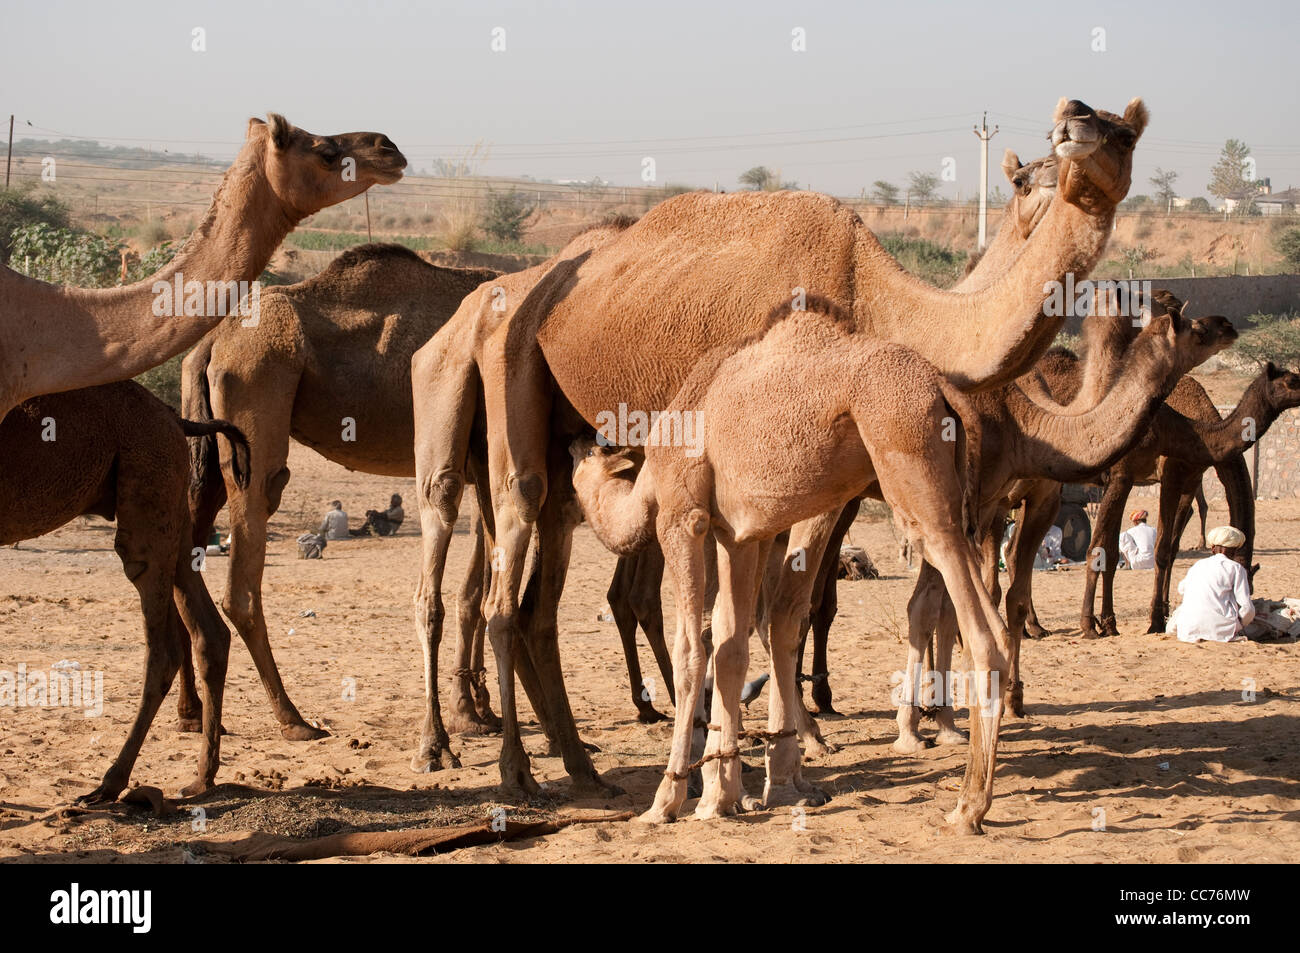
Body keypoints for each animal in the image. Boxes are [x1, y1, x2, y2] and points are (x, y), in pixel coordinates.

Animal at [0, 377, 250, 795]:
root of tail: (172, 415)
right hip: (170, 497)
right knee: (209, 629)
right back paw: (202, 777)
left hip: (148, 474)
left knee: (161, 638)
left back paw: (110, 782)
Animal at [185, 241, 499, 738]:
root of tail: (211, 344)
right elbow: (478, 591)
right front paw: (471, 713)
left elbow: (474, 590)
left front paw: (478, 710)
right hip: (256, 400)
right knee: (243, 574)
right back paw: (294, 719)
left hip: (210, 445)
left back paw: (192, 713)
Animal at [569, 297, 1013, 826]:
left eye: (587, 456)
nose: (571, 443)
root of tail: (944, 389)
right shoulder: (742, 534)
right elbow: (730, 645)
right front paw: (722, 795)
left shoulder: (684, 517)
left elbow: (691, 652)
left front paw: (667, 800)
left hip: (911, 466)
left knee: (978, 623)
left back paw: (968, 805)